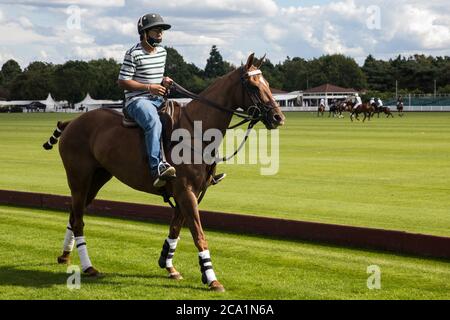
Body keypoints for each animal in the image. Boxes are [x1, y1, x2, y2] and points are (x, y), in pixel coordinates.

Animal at [41, 53, 284, 292]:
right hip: (78, 177)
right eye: (253, 86)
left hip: (97, 177)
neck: (197, 132)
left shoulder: (191, 192)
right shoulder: (185, 191)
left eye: (266, 83)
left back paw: (65, 256)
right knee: (79, 220)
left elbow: (176, 228)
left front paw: (168, 265)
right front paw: (212, 279)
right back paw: (88, 266)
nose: (278, 118)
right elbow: (198, 234)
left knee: (75, 213)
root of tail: (72, 121)